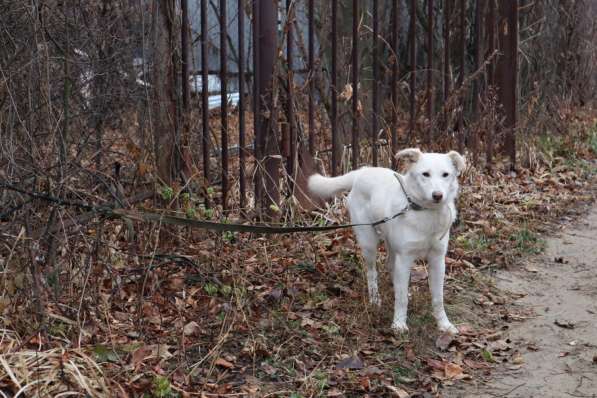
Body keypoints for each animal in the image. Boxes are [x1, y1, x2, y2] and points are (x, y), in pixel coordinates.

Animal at [308, 148, 466, 334]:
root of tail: (362, 171)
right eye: (425, 174)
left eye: (445, 175)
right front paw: (398, 324)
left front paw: (444, 324)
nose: (438, 196)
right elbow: (402, 299)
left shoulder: (438, 260)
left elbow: (438, 298)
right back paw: (375, 299)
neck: (425, 212)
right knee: (372, 272)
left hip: (392, 245)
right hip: (368, 243)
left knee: (391, 267)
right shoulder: (405, 258)